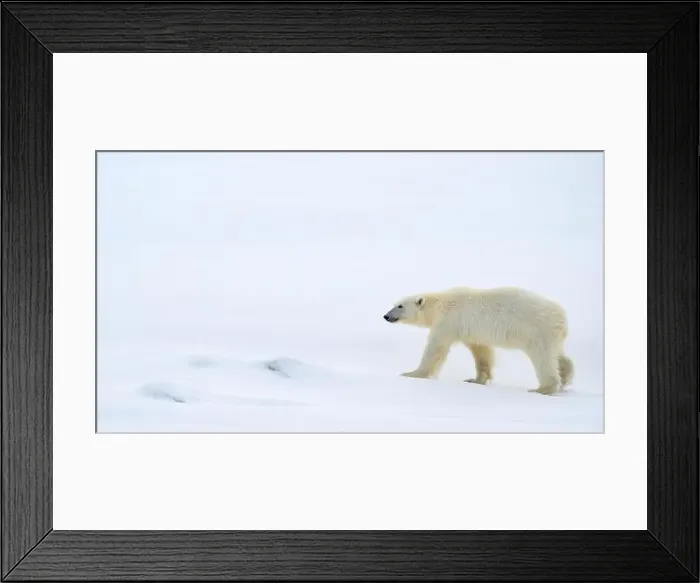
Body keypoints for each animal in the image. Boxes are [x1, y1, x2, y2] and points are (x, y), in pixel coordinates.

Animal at [383, 286, 574, 395]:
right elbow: (481, 351)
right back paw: (565, 377)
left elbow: (436, 347)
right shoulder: (472, 330)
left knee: (543, 357)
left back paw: (543, 388)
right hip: (550, 334)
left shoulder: (449, 320)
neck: (439, 303)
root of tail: (562, 316)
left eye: (400, 306)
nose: (386, 316)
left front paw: (411, 373)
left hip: (536, 329)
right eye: (394, 303)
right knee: (557, 354)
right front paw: (476, 380)